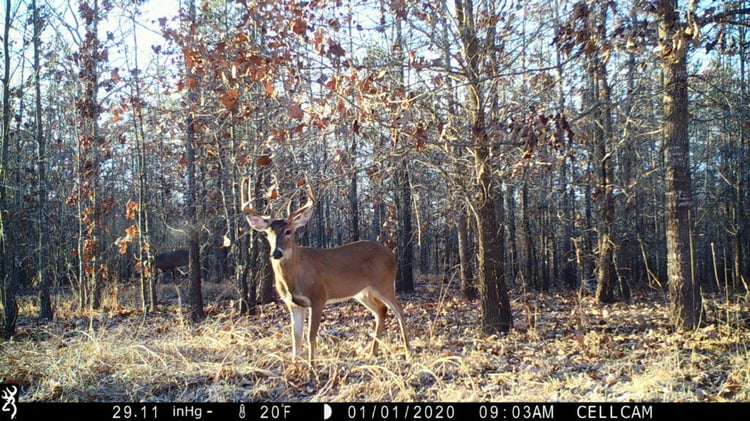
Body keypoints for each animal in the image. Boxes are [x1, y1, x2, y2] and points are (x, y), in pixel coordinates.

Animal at [241, 178, 410, 362]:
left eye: (288, 231)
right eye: (267, 234)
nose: (276, 253)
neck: (295, 277)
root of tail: (392, 255)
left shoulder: (318, 297)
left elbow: (310, 336)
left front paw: (311, 365)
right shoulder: (293, 303)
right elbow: (296, 337)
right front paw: (295, 364)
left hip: (384, 283)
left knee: (399, 309)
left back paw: (408, 350)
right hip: (362, 291)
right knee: (381, 310)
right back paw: (373, 352)